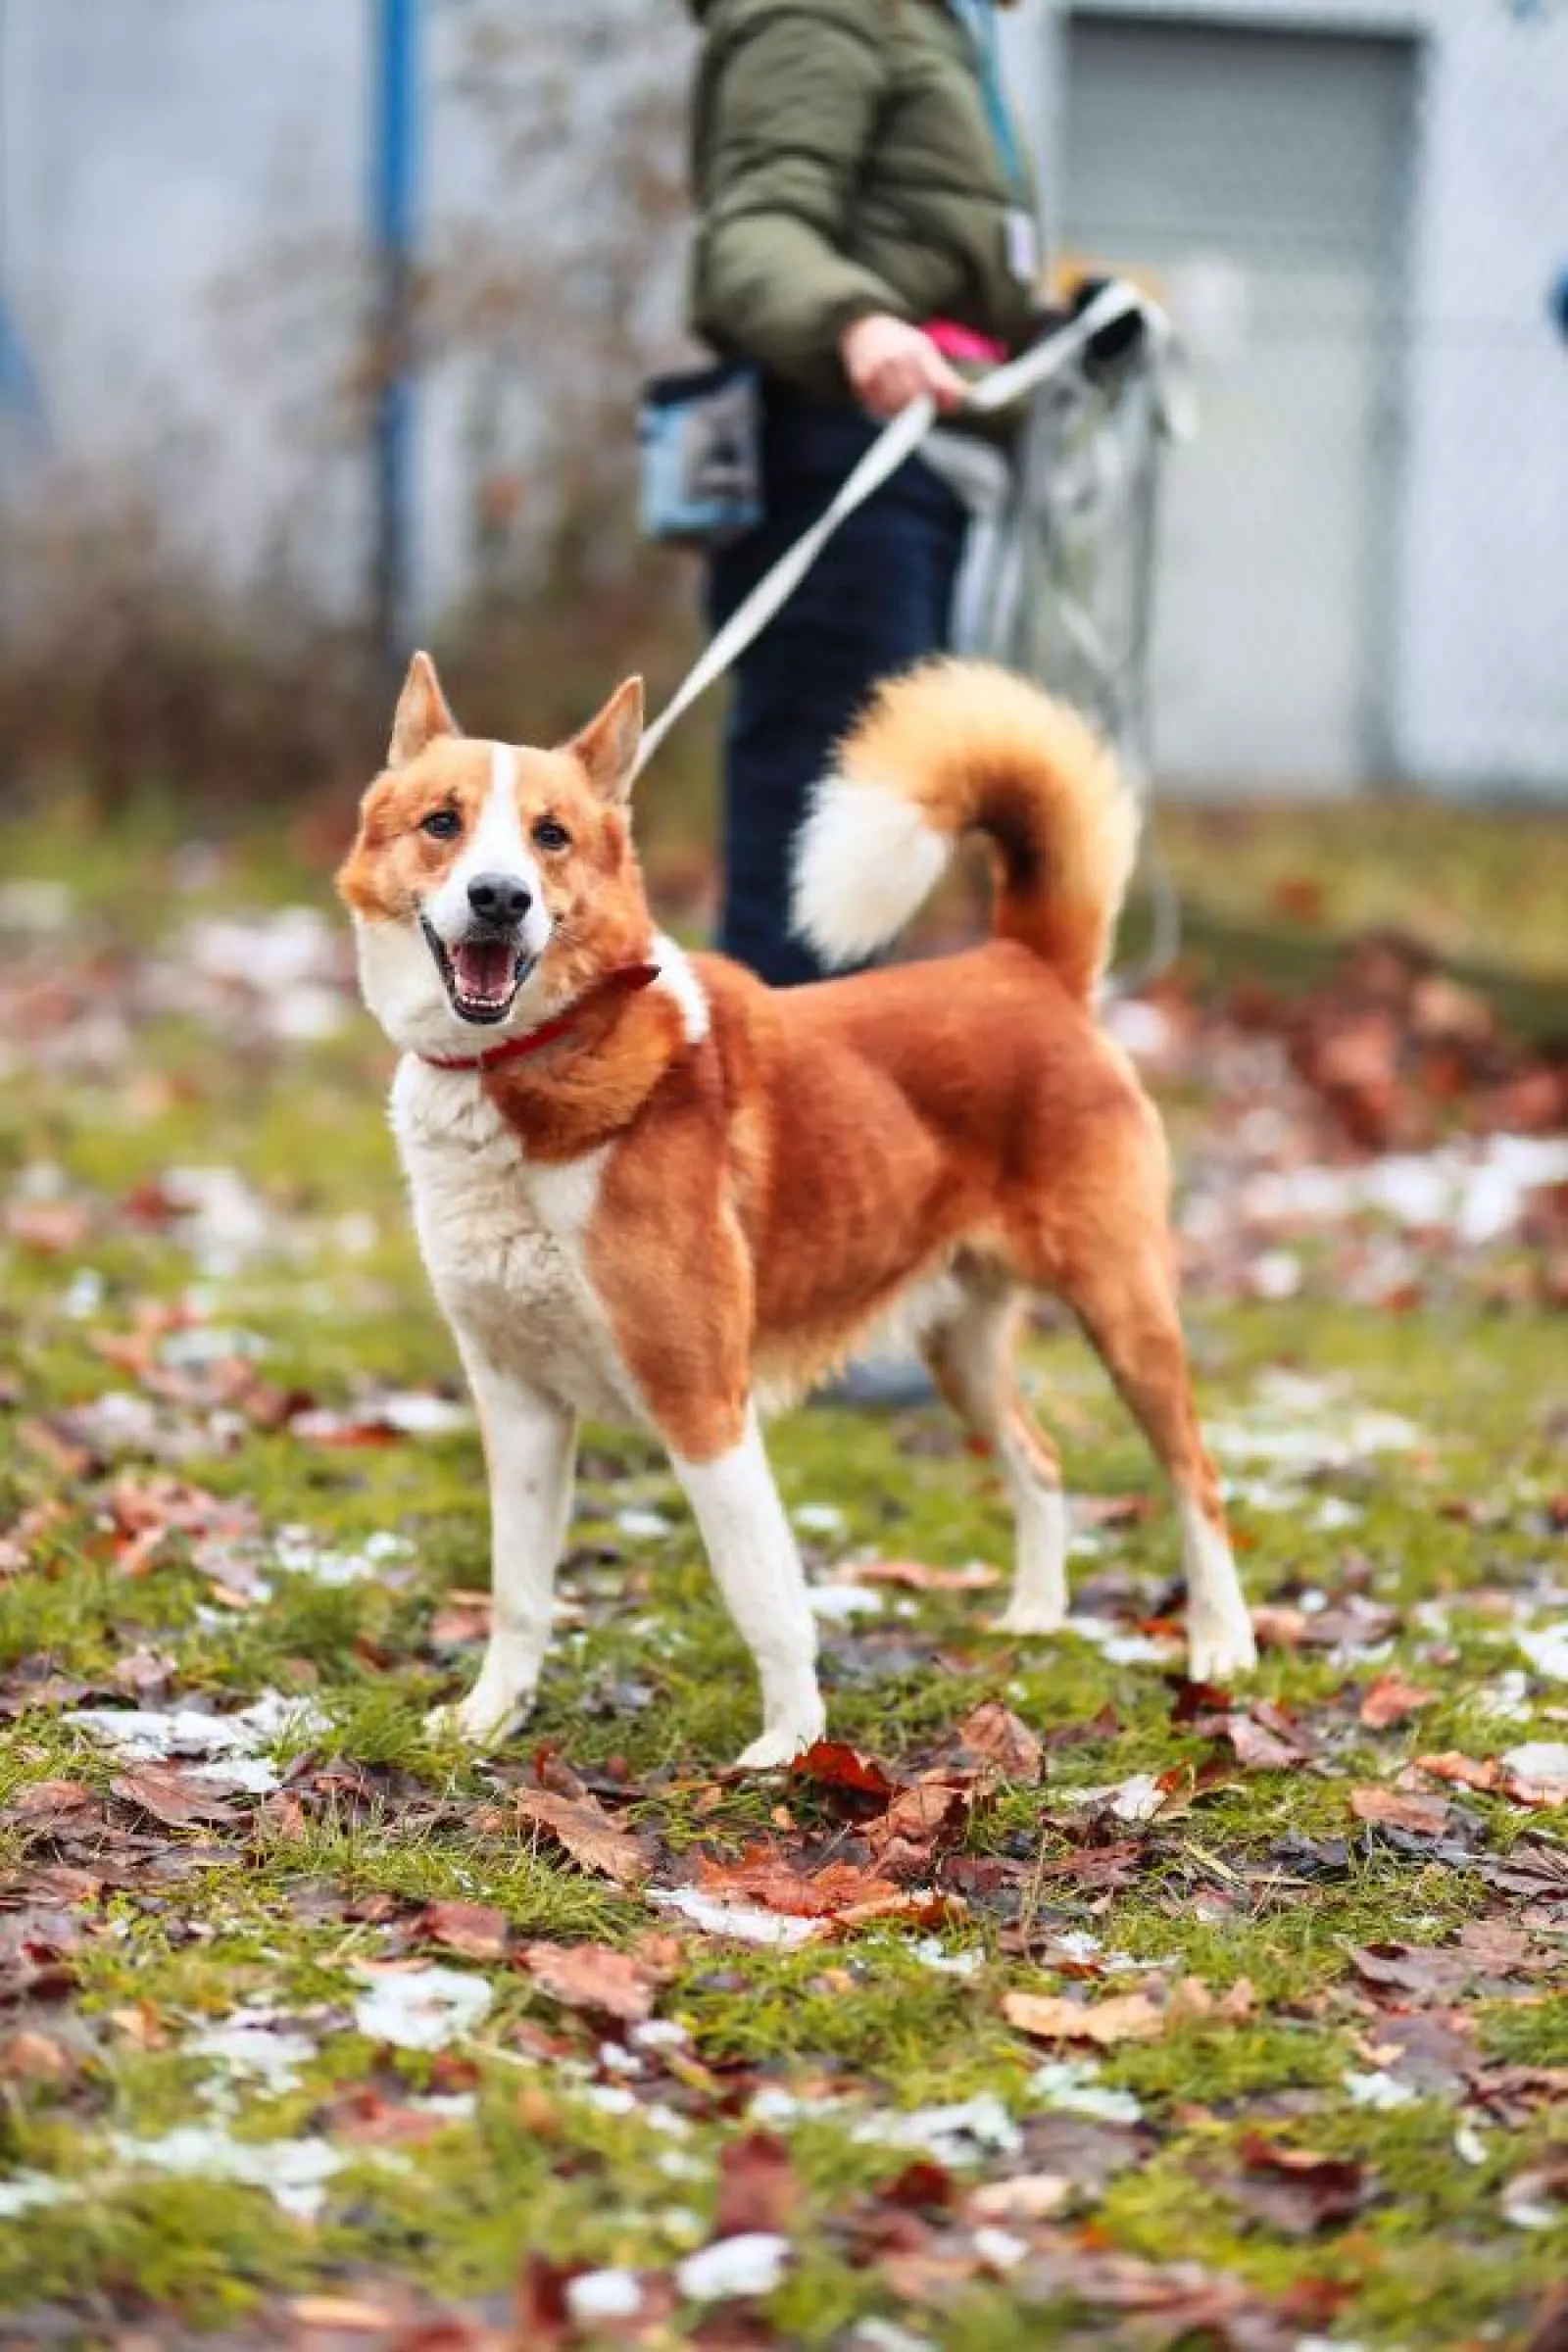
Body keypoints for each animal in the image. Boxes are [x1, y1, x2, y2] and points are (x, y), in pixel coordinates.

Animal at [337, 653, 1256, 1766]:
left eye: (551, 836)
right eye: (443, 822)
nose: (500, 897)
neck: (527, 1064)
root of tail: (1026, 967)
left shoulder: (702, 1402)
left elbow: (761, 1593)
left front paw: (793, 1746)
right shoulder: (517, 1401)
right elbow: (518, 1594)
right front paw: (488, 1718)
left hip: (1124, 1311)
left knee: (1195, 1476)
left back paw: (1221, 1645)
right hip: (960, 1347)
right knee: (1039, 1459)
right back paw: (1036, 1615)